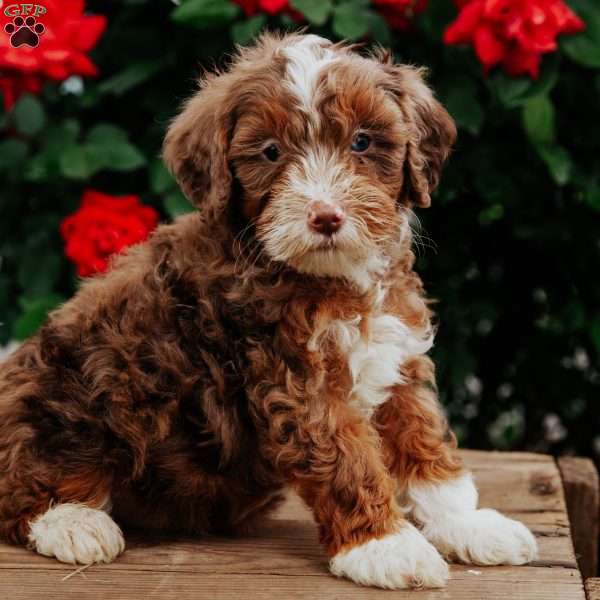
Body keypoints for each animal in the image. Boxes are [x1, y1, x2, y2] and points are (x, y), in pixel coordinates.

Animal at [0, 34, 536, 592]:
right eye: (271, 152)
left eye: (362, 142)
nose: (326, 217)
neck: (332, 276)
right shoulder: (293, 380)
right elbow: (347, 458)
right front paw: (386, 545)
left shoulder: (397, 355)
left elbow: (423, 439)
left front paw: (465, 523)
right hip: (77, 391)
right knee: (23, 485)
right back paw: (75, 523)